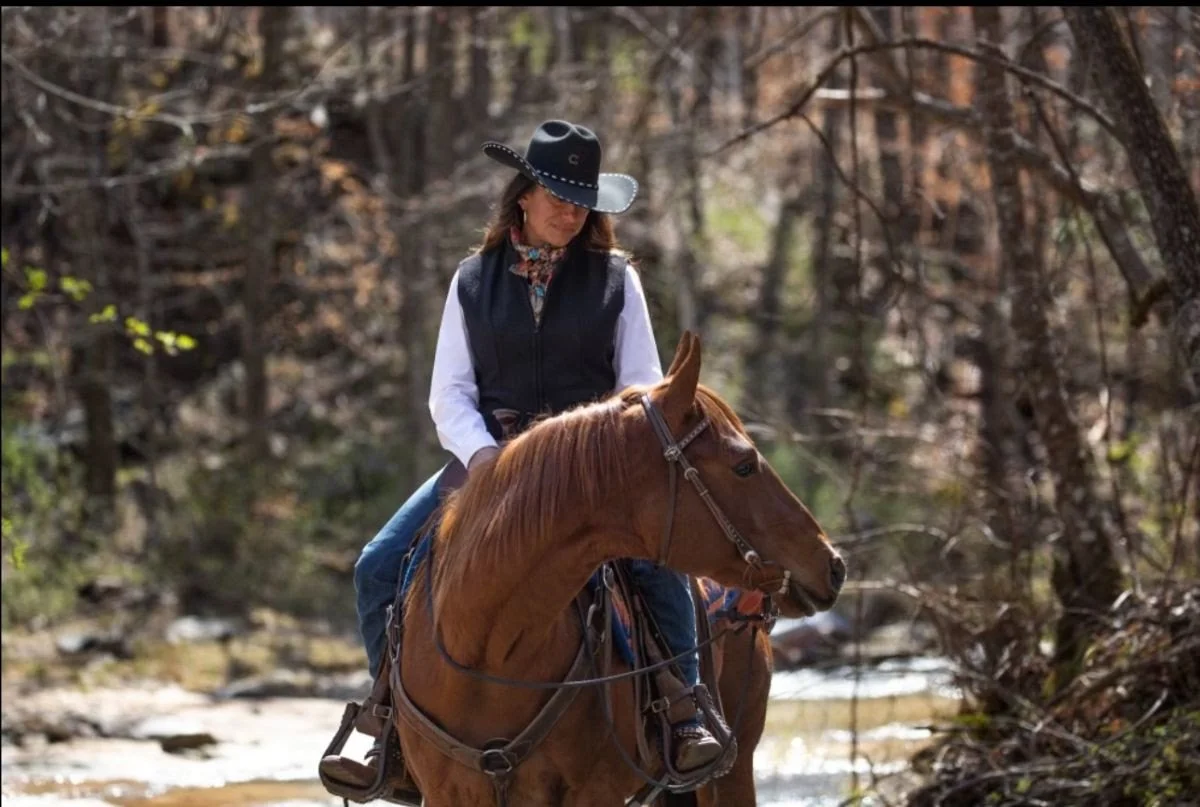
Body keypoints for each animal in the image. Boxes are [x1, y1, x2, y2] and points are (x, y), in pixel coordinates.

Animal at [393, 331, 846, 806]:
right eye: (743, 466)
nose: (832, 564)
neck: (489, 650)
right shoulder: (448, 793)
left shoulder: (596, 791)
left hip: (734, 770)